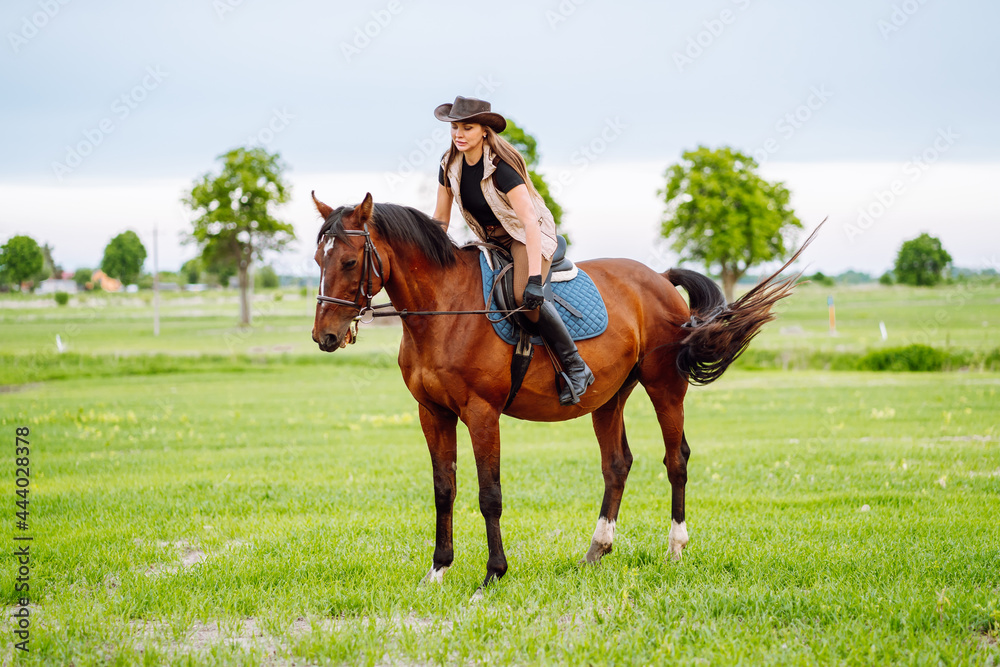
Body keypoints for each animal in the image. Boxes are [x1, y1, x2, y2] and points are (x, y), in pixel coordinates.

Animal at [314, 192, 820, 596]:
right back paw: (597, 549)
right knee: (617, 465)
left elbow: (489, 494)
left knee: (676, 460)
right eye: (319, 261)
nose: (325, 337)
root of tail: (657, 277)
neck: (446, 310)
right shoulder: (432, 413)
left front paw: (493, 573)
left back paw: (675, 549)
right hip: (609, 398)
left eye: (348, 261)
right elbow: (444, 490)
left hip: (665, 387)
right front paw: (438, 571)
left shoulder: (482, 413)